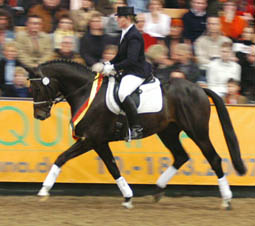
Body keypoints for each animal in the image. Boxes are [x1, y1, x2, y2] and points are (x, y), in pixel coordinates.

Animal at [28, 59, 247, 208]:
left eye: (38, 88)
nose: (39, 115)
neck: (85, 92)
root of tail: (200, 89)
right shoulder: (98, 142)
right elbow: (112, 167)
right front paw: (128, 196)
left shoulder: (92, 140)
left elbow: (63, 157)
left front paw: (43, 190)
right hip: (168, 132)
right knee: (181, 156)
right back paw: (157, 190)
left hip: (197, 132)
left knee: (214, 158)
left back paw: (226, 200)